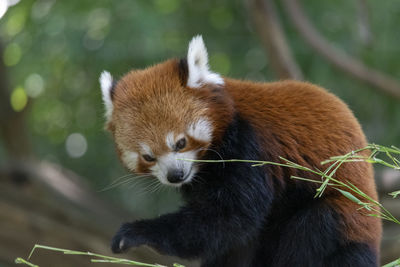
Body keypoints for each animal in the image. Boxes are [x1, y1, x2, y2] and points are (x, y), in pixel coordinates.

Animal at [100, 36, 382, 267]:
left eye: (180, 143)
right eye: (148, 157)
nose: (175, 176)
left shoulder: (250, 146)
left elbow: (231, 217)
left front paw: (138, 232)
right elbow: (225, 234)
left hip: (345, 218)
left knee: (313, 229)